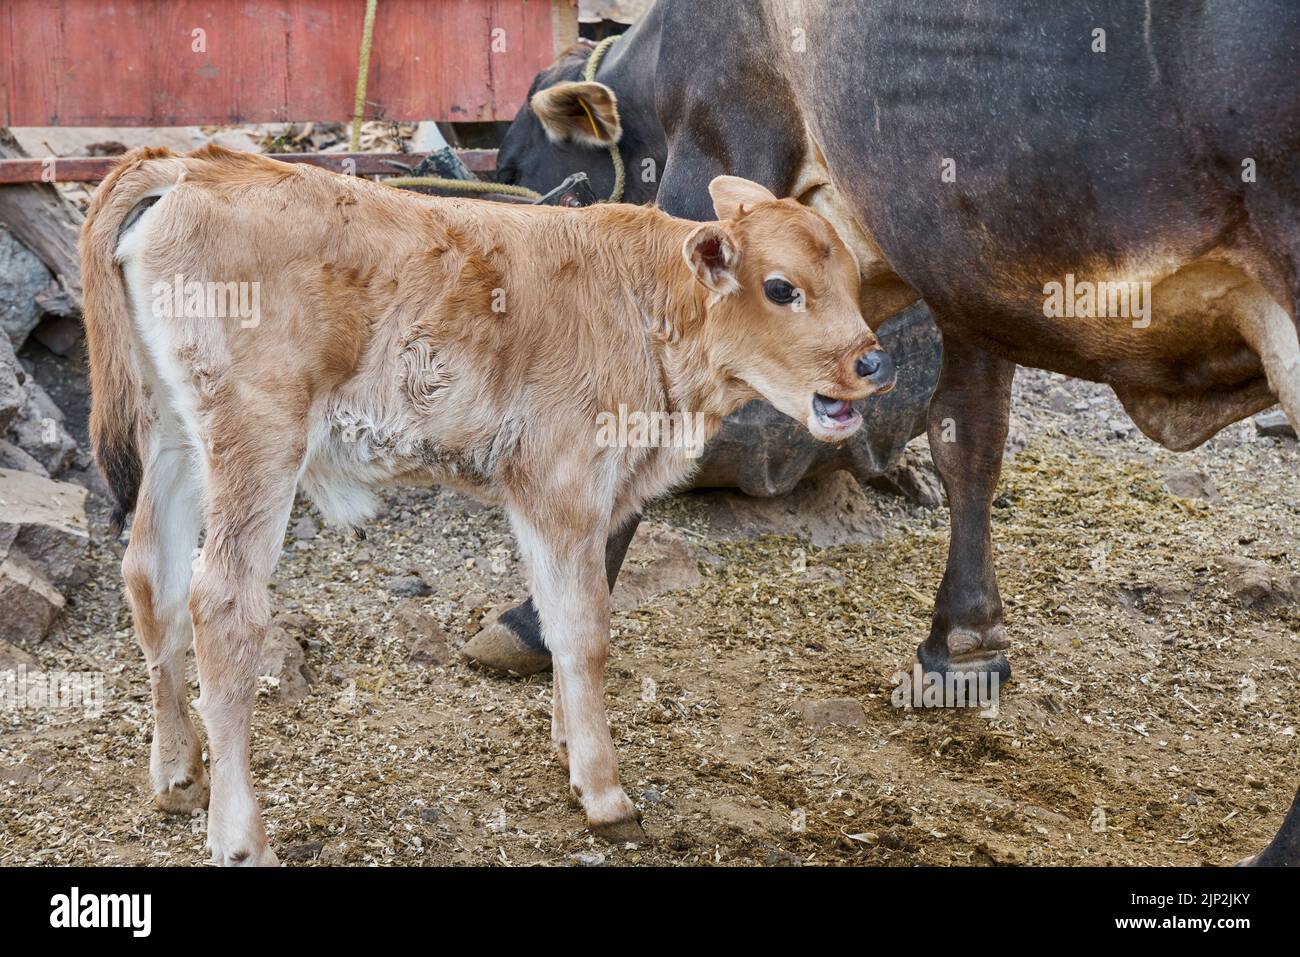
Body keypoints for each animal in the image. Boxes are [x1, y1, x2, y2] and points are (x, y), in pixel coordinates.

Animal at [79, 144, 895, 864]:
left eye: (853, 278)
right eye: (781, 287)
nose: (874, 361)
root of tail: (195, 165)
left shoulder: (558, 494)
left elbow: (559, 613)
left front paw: (570, 746)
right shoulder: (561, 479)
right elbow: (584, 627)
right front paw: (605, 792)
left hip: (174, 431)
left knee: (151, 576)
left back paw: (177, 776)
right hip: (256, 437)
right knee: (221, 605)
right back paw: (240, 834)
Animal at [485, 0, 1300, 865]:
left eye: (512, 163)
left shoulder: (721, 139)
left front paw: (535, 622)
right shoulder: (960, 258)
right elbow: (969, 436)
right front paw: (965, 643)